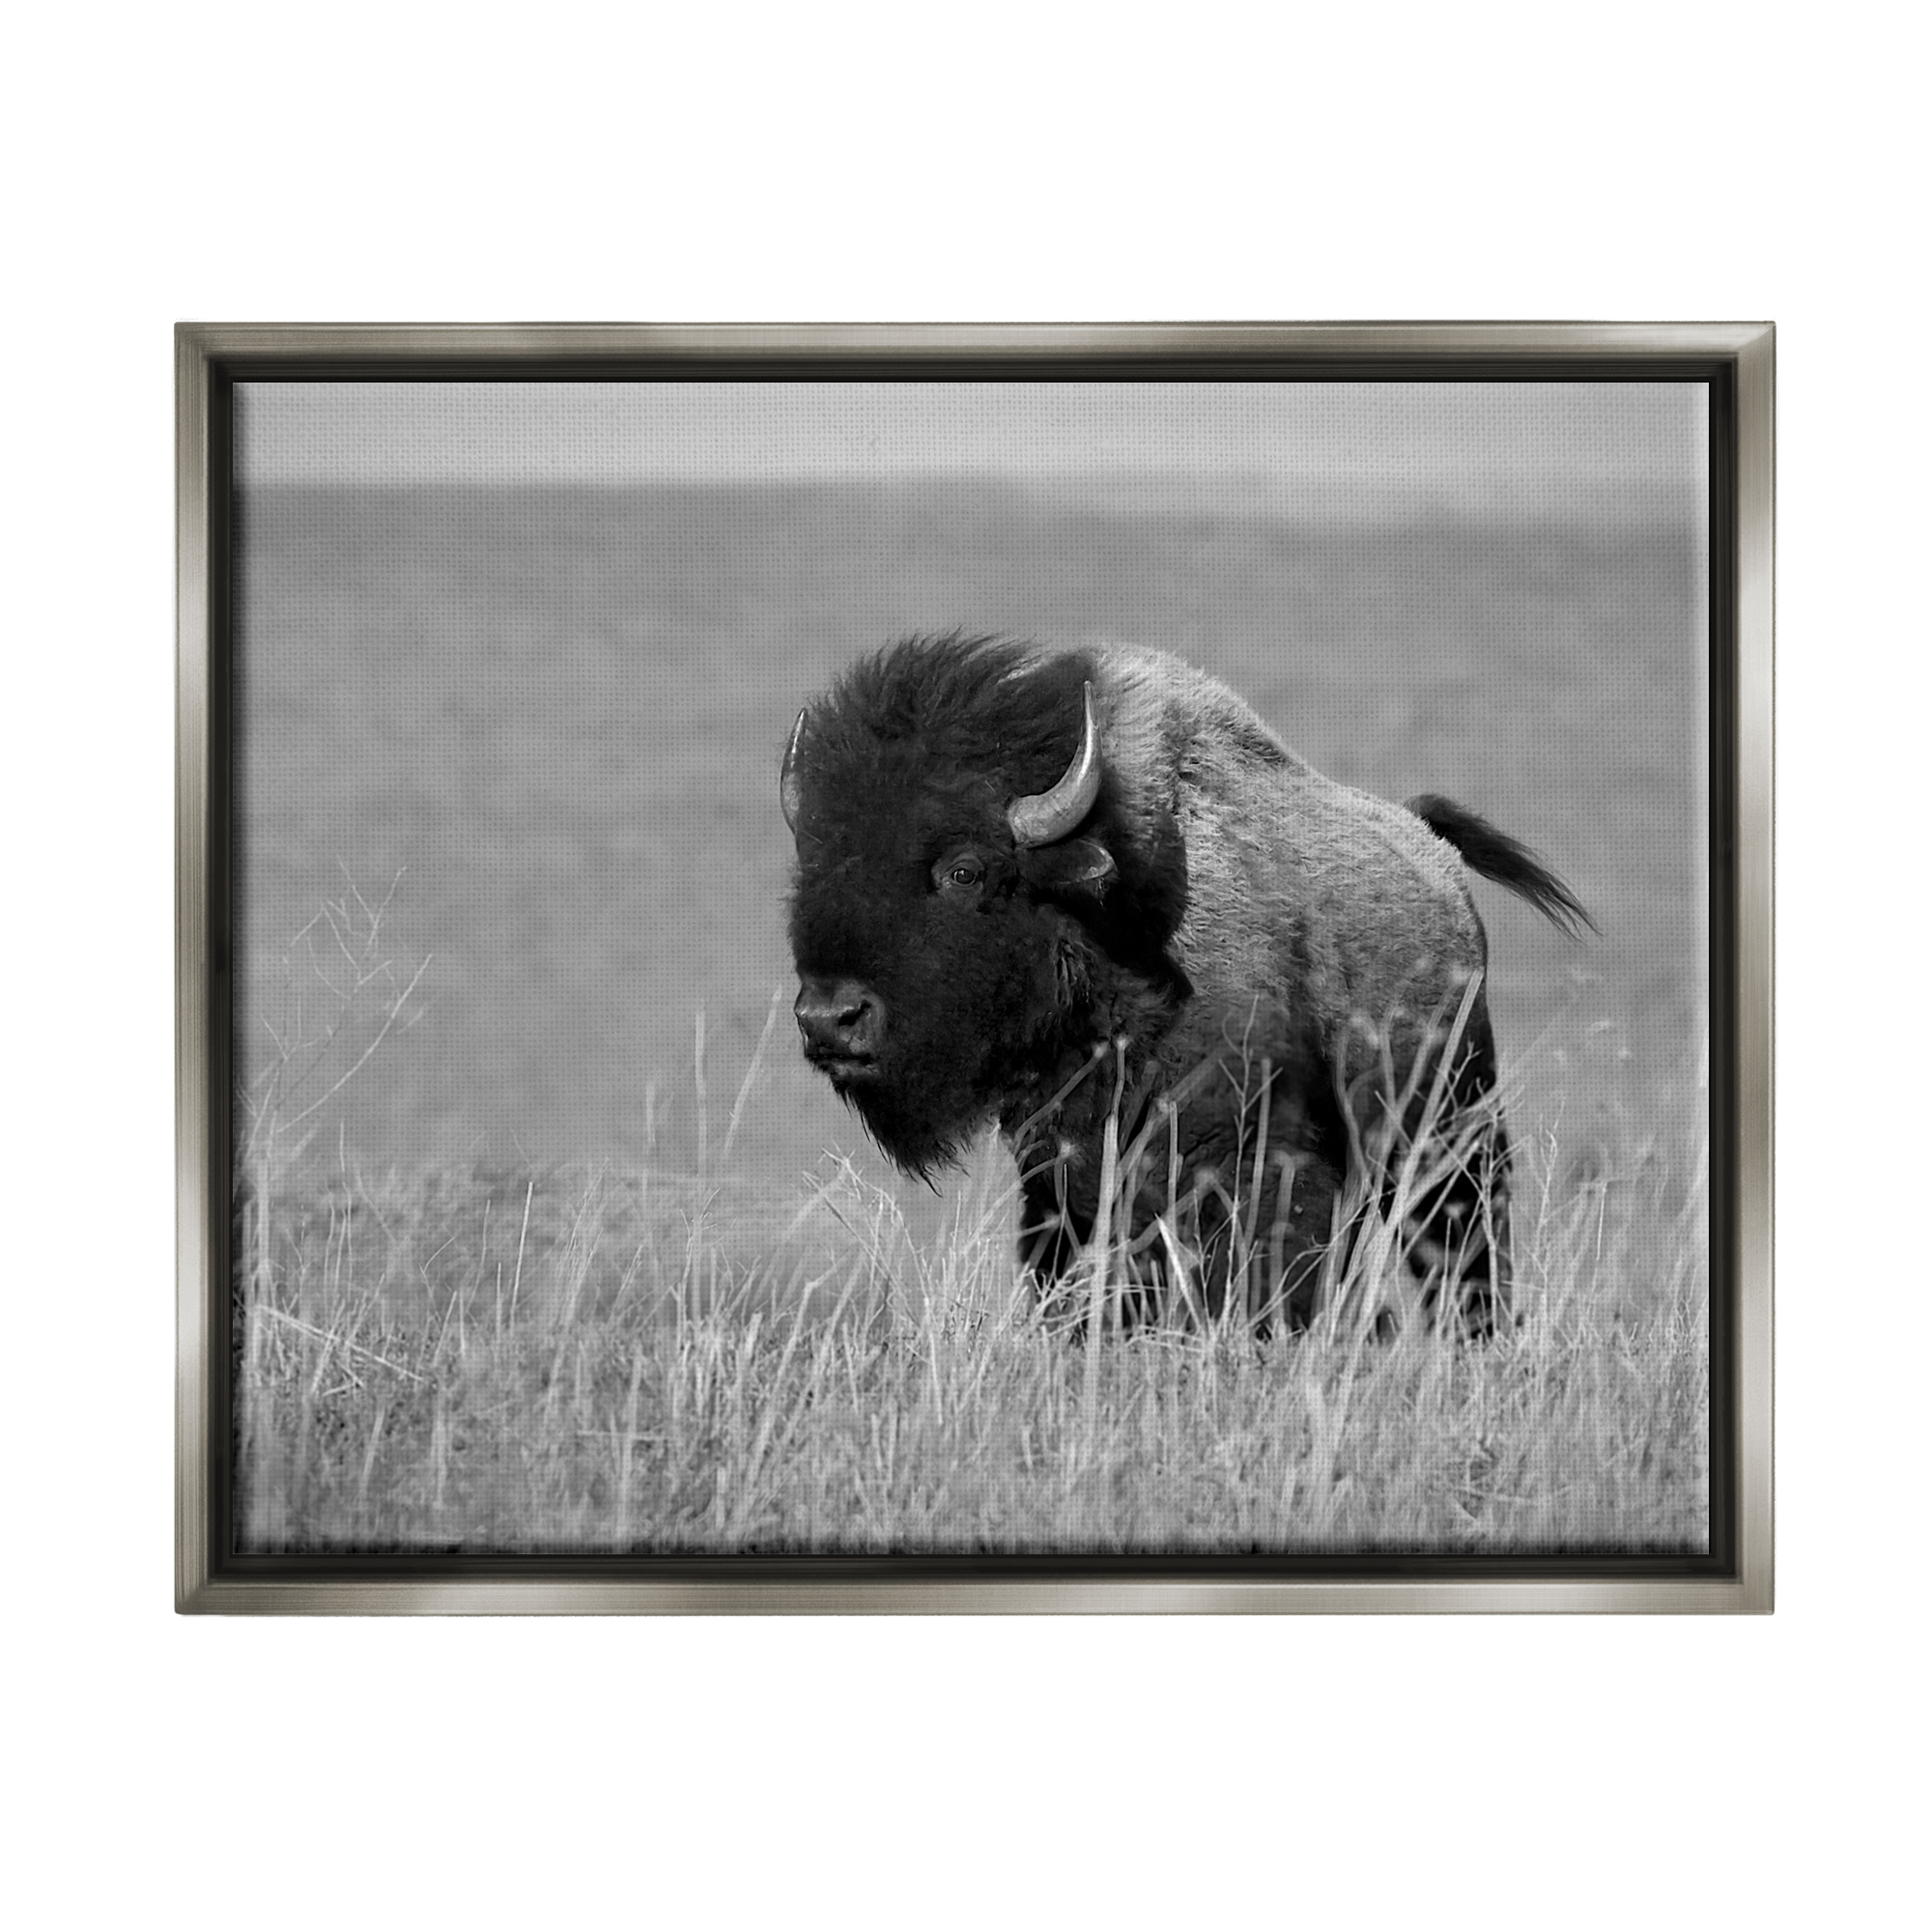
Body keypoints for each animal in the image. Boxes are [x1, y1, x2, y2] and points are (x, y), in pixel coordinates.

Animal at [781, 632, 1589, 1334]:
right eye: (814, 867)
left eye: (964, 869)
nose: (830, 1017)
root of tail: (1437, 862)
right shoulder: (1063, 1183)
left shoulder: (1256, 1165)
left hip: (1455, 1138)